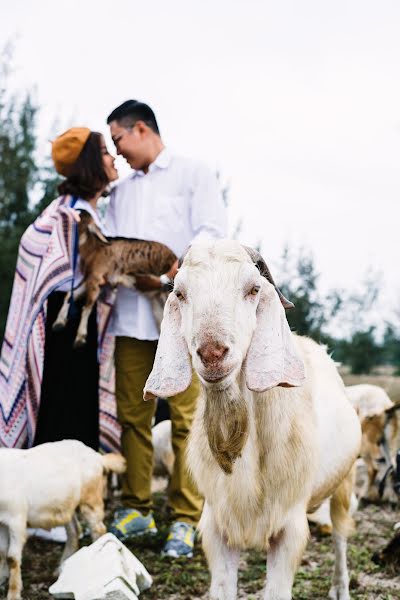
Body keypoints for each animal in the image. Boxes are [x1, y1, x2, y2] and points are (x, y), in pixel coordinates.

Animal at [0, 438, 126, 596]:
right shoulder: (2, 522)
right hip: (67, 507)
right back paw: (62, 569)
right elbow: (1, 552)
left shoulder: (16, 519)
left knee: (99, 530)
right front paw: (1, 580)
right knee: (74, 531)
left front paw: (13, 594)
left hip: (91, 499)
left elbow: (12, 558)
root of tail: (98, 457)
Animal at [145, 240, 362, 600]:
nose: (213, 353)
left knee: (341, 536)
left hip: (344, 482)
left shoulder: (289, 527)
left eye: (253, 289)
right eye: (180, 293)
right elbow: (222, 588)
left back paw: (340, 588)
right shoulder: (217, 524)